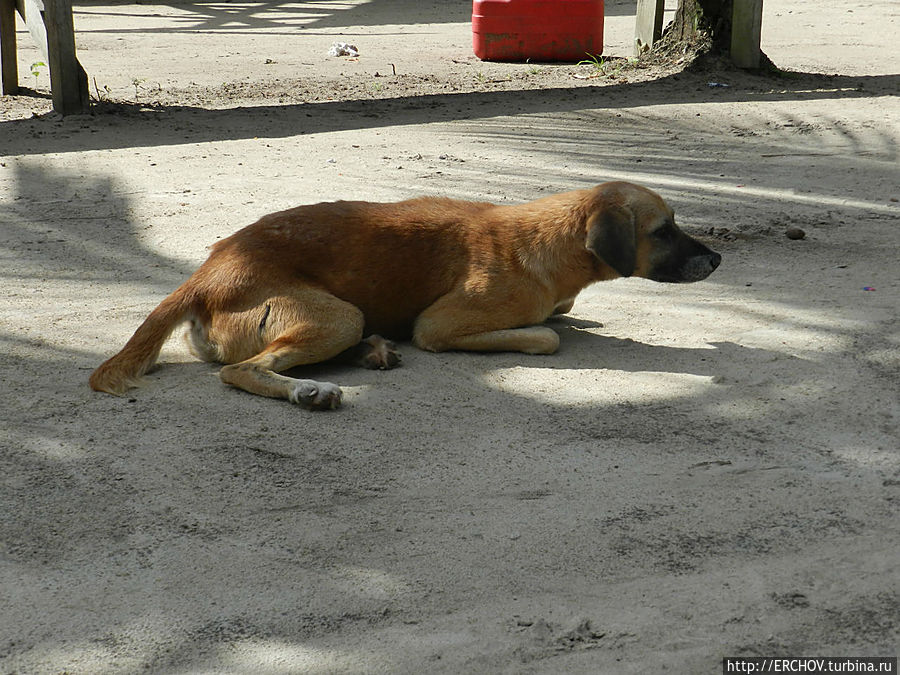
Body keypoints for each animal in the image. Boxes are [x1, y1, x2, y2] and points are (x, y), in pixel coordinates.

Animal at [91, 182, 720, 410]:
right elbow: (546, 334)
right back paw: (309, 391)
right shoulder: (438, 327)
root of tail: (205, 273)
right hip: (338, 315)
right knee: (240, 370)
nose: (718, 260)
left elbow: (563, 313)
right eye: (664, 230)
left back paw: (370, 352)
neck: (546, 241)